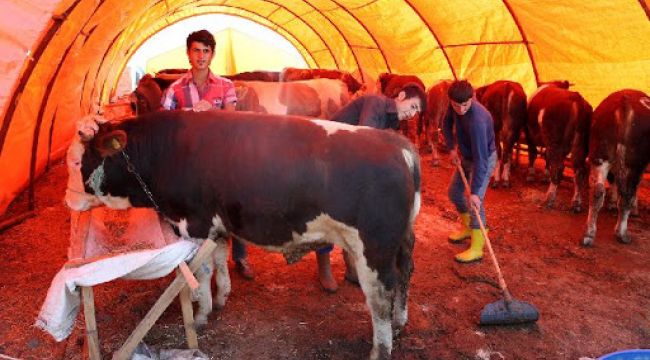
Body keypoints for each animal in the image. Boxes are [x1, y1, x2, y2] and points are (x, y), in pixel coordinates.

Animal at [64, 110, 420, 360]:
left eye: (79, 161)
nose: (68, 200)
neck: (165, 150)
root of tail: (397, 144)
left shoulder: (196, 224)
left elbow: (202, 272)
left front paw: (202, 313)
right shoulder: (219, 227)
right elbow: (221, 262)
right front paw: (222, 297)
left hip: (374, 249)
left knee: (380, 298)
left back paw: (380, 348)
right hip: (402, 241)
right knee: (405, 275)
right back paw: (400, 322)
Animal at [528, 82, 592, 210]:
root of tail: (577, 99)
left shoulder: (529, 132)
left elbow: (533, 152)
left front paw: (531, 175)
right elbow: (546, 156)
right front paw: (545, 176)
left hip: (555, 140)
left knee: (558, 167)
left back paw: (549, 198)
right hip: (580, 144)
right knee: (579, 171)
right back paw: (576, 203)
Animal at [584, 89, 648, 246]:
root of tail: (624, 101)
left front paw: (612, 202)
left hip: (600, 156)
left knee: (597, 191)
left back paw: (589, 234)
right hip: (631, 161)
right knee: (626, 194)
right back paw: (622, 233)